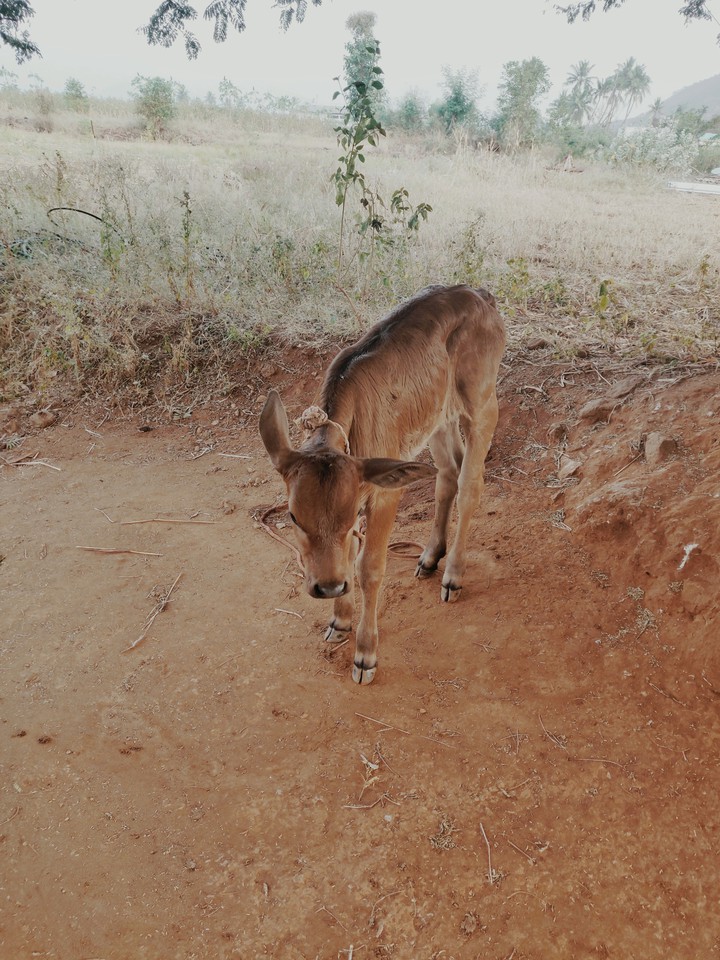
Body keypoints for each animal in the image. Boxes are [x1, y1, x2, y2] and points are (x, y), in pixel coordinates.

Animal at [259, 284, 506, 684]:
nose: (328, 587)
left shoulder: (384, 495)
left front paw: (365, 654)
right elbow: (347, 559)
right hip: (436, 417)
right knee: (447, 472)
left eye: (349, 517)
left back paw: (452, 575)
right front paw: (340, 621)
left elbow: (368, 568)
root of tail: (479, 293)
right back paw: (429, 557)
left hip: (482, 403)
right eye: (293, 517)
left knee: (470, 482)